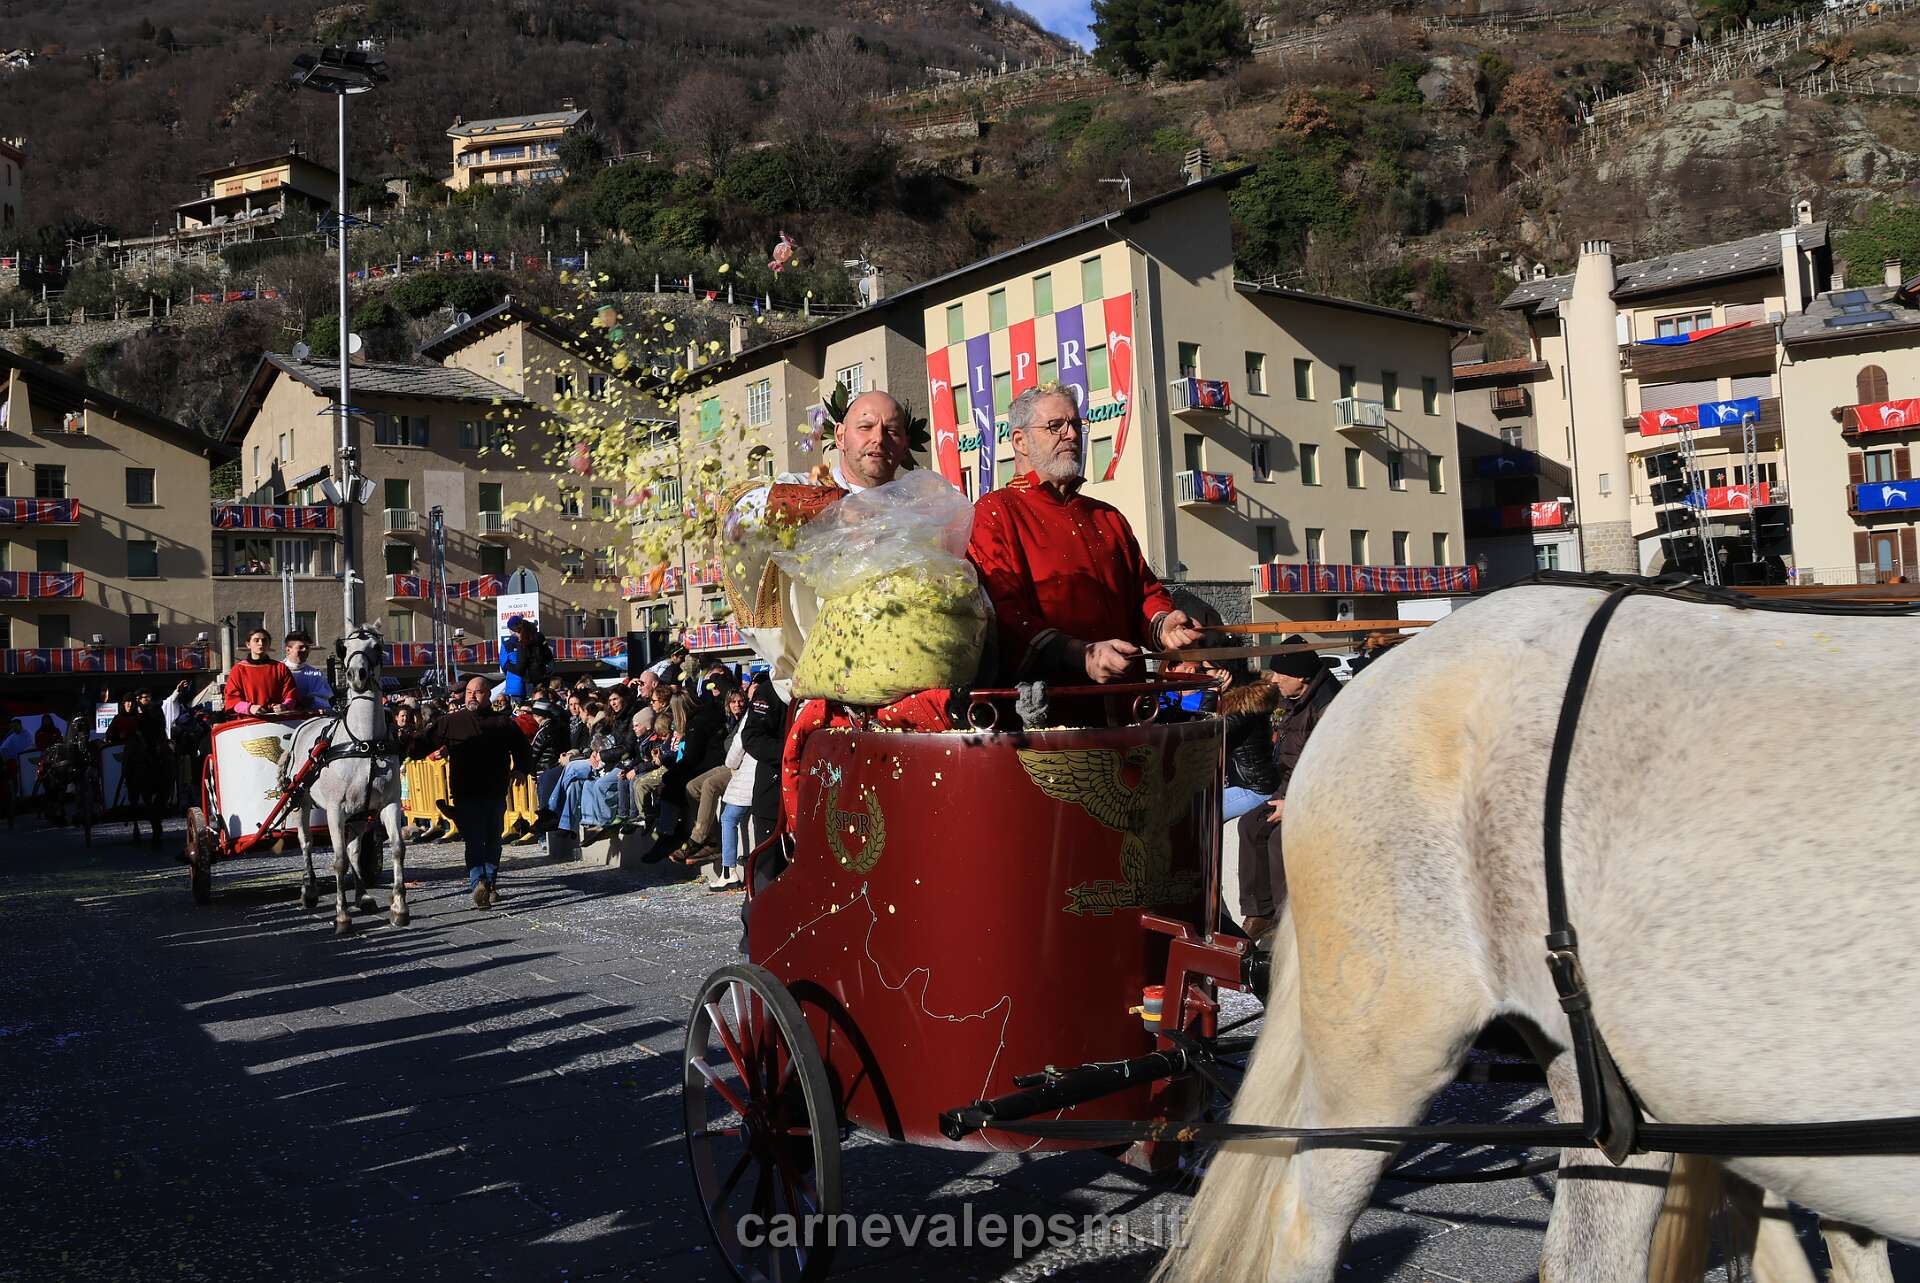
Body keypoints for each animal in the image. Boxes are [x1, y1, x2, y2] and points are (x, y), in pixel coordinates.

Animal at [283, 628, 409, 936]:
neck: (365, 743)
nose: (356, 674)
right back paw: (309, 890)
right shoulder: (335, 810)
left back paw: (362, 895)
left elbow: (397, 849)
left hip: (361, 814)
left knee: (354, 849)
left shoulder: (388, 804)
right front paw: (342, 916)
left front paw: (399, 909)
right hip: (302, 802)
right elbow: (338, 860)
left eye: (375, 646)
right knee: (306, 843)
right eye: (346, 648)